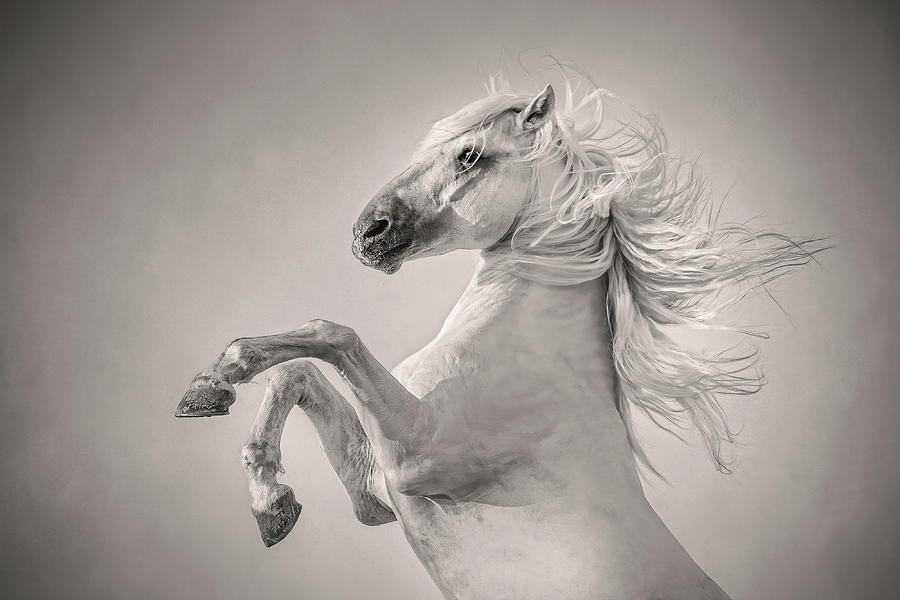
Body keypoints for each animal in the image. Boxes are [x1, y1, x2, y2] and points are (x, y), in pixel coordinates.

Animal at [176, 65, 822, 599]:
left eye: (469, 155)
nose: (367, 232)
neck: (532, 357)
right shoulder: (379, 487)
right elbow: (297, 374)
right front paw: (242, 447)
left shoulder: (417, 456)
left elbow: (332, 335)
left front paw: (227, 386)